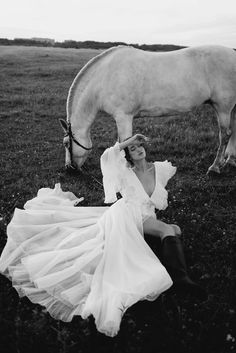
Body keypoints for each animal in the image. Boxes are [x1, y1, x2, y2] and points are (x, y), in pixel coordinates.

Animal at [59, 44, 236, 174]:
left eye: (67, 143)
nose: (69, 168)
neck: (104, 78)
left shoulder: (123, 117)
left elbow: (125, 143)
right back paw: (230, 160)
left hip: (223, 108)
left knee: (225, 134)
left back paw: (215, 167)